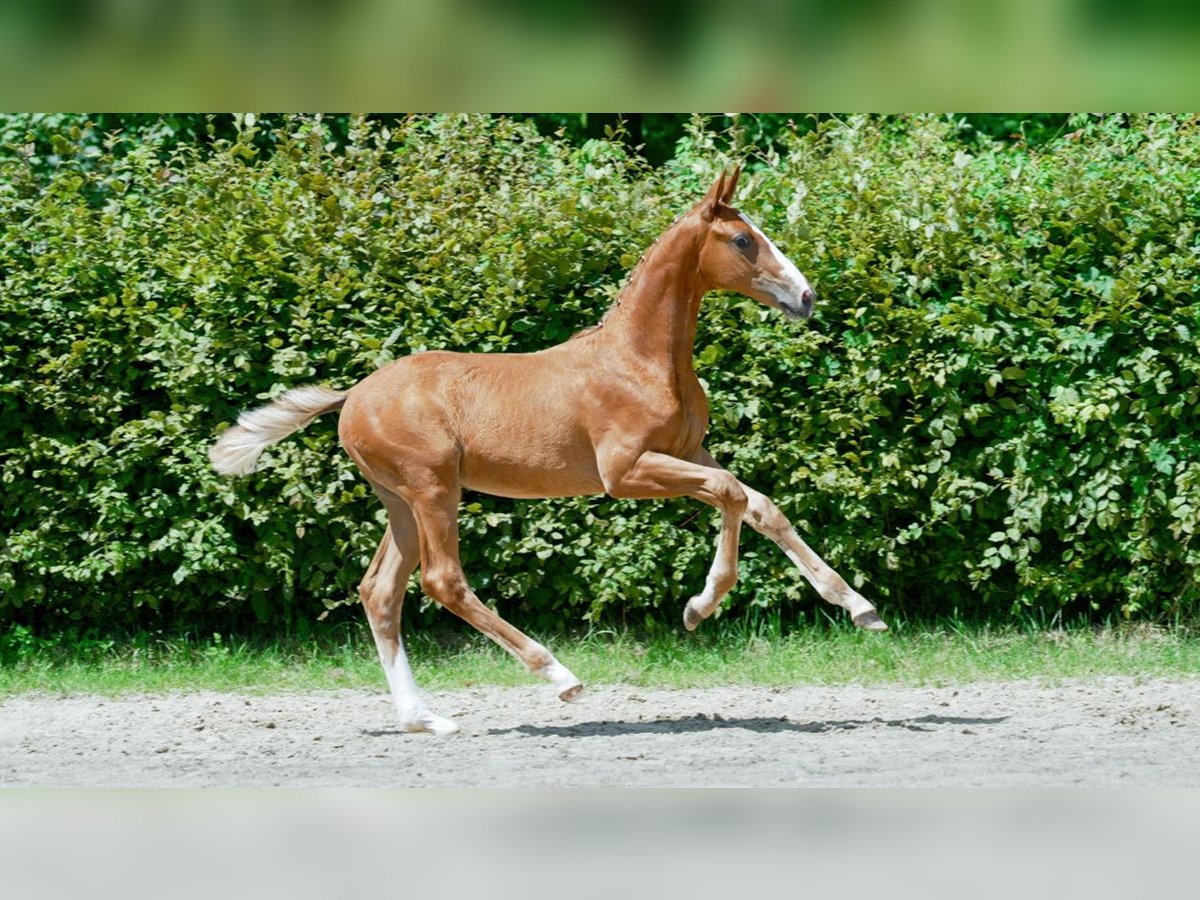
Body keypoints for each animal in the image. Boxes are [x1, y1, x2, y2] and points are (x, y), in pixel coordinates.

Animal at [211, 168, 888, 734]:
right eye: (745, 240)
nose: (806, 297)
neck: (638, 360)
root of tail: (352, 395)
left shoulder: (690, 451)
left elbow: (761, 505)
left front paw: (859, 607)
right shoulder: (625, 472)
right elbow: (730, 497)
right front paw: (699, 608)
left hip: (399, 500)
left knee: (380, 592)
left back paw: (425, 719)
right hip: (433, 489)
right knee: (442, 581)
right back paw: (559, 676)